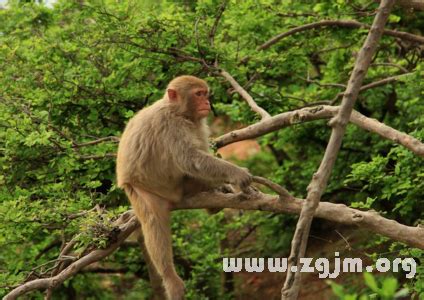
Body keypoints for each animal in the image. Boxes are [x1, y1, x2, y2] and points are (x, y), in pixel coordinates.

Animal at [116, 75, 252, 300]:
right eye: (198, 94)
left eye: (205, 94)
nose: (207, 103)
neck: (178, 111)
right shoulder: (172, 126)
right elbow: (191, 159)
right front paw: (237, 174)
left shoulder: (197, 122)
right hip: (142, 191)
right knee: (154, 222)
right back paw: (169, 276)